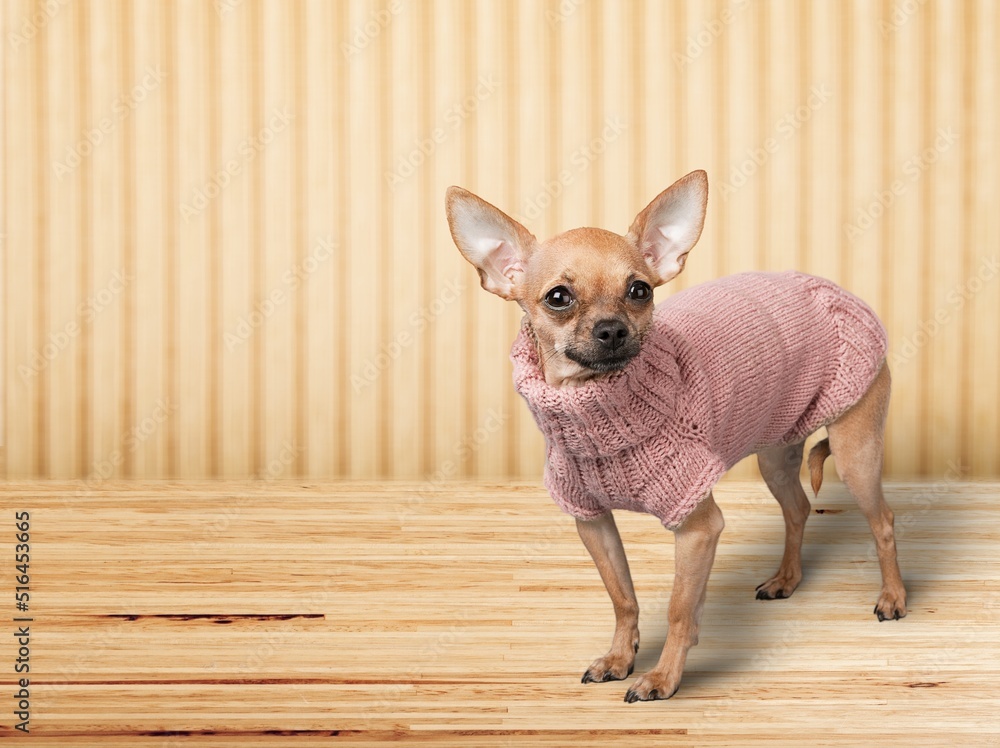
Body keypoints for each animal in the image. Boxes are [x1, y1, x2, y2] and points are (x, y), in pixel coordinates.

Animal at [446, 169, 908, 700]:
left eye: (639, 291)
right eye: (558, 297)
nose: (611, 330)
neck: (599, 415)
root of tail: (833, 290)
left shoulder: (698, 529)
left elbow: (680, 610)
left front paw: (663, 677)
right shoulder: (593, 523)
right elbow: (623, 597)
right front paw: (620, 657)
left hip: (856, 455)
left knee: (883, 521)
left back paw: (893, 596)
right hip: (776, 452)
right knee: (797, 509)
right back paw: (787, 579)